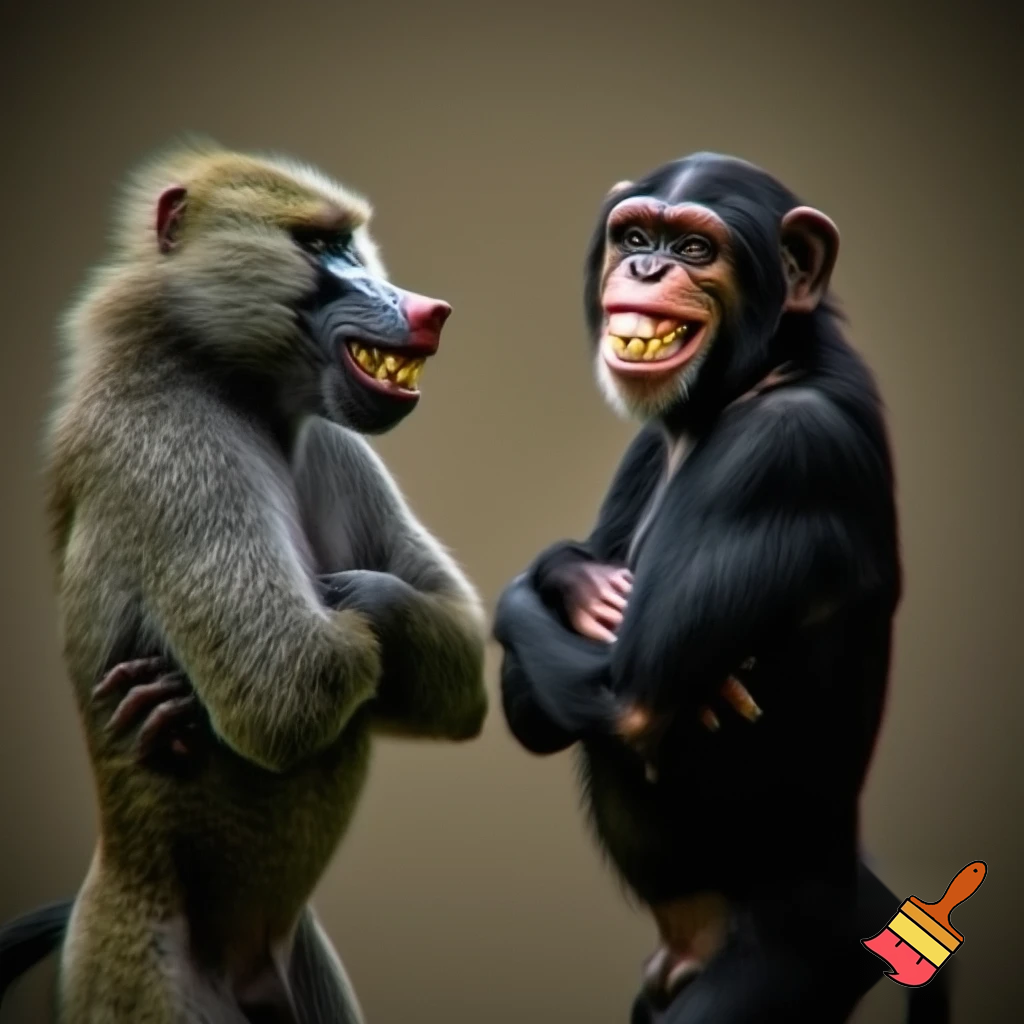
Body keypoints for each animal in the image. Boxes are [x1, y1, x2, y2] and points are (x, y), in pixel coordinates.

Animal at [0, 139, 488, 1023]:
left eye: (350, 242)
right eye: (318, 245)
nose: (427, 310)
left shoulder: (335, 444)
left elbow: (456, 653)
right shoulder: (174, 443)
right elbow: (285, 688)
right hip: (141, 980)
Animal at [492, 153, 949, 1023]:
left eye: (696, 249)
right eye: (636, 236)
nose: (647, 268)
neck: (761, 374)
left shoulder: (784, 452)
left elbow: (632, 696)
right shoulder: (645, 446)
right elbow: (532, 703)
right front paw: (571, 577)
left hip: (792, 962)